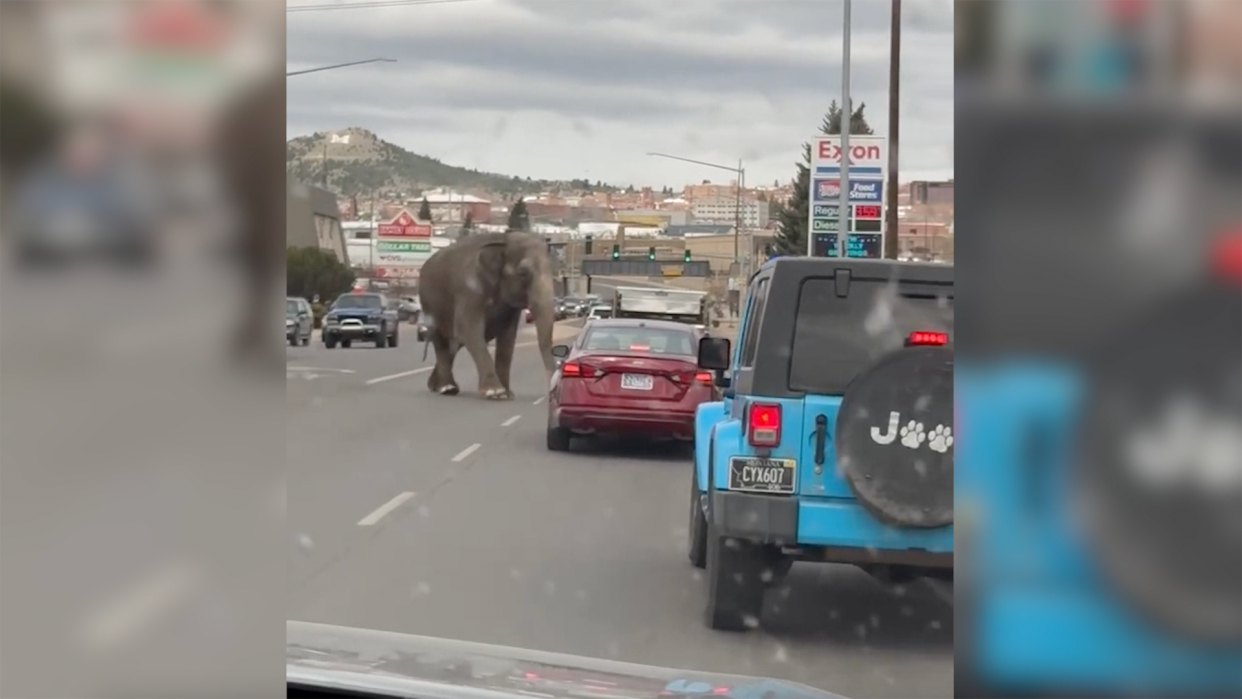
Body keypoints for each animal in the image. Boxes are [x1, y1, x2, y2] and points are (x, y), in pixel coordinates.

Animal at [414, 230, 556, 399]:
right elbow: (469, 329)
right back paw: (447, 388)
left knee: (454, 345)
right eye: (523, 273)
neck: (503, 240)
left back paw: (436, 386)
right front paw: (494, 392)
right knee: (442, 342)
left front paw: (506, 394)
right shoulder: (468, 290)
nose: (551, 391)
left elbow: (508, 337)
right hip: (430, 304)